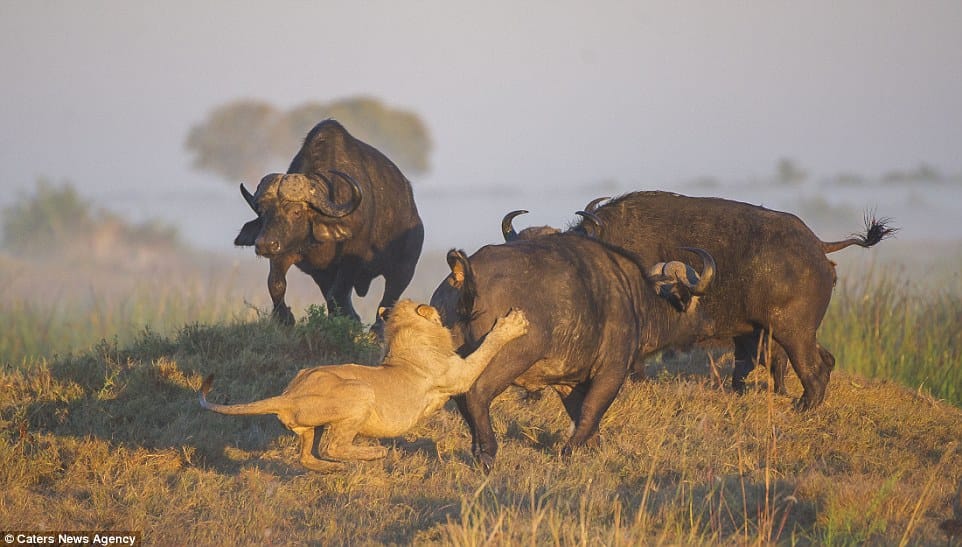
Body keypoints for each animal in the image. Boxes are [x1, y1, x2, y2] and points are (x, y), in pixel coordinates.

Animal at [199, 299, 528, 472]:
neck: (403, 334)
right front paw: (513, 324)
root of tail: (287, 395)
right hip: (361, 391)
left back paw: (334, 469)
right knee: (334, 446)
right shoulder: (458, 375)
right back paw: (374, 454)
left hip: (309, 416)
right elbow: (487, 346)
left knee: (308, 456)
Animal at [235, 119, 424, 333]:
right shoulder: (294, 256)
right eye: (263, 212)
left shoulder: (352, 259)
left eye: (296, 212)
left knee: (389, 298)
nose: (265, 244)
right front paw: (285, 318)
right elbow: (276, 284)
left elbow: (337, 294)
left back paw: (377, 329)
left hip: (405, 268)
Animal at [430, 233, 715, 470]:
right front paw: (569, 450)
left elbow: (580, 414)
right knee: (476, 394)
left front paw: (592, 448)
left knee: (462, 397)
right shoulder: (612, 370)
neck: (634, 297)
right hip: (508, 358)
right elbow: (592, 409)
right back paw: (487, 453)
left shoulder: (567, 382)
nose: (708, 325)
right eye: (695, 301)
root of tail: (467, 274)